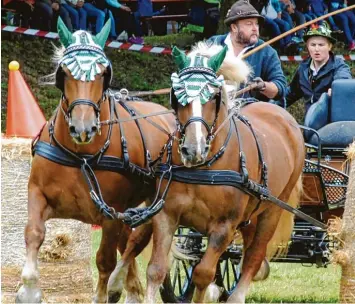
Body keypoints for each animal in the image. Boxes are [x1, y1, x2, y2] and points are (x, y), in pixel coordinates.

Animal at [16, 19, 176, 304]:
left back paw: (118, 286)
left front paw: (104, 292)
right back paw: (129, 290)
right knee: (129, 243)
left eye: (103, 73)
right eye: (65, 72)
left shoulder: (111, 212)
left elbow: (104, 261)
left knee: (136, 242)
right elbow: (34, 233)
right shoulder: (37, 193)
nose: (83, 128)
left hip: (151, 204)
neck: (79, 155)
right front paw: (29, 290)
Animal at [112, 43, 306, 304]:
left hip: (272, 210)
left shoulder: (224, 226)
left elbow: (203, 273)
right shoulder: (166, 214)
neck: (203, 167)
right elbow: (157, 269)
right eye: (176, 95)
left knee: (253, 258)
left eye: (213, 96)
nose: (193, 149)